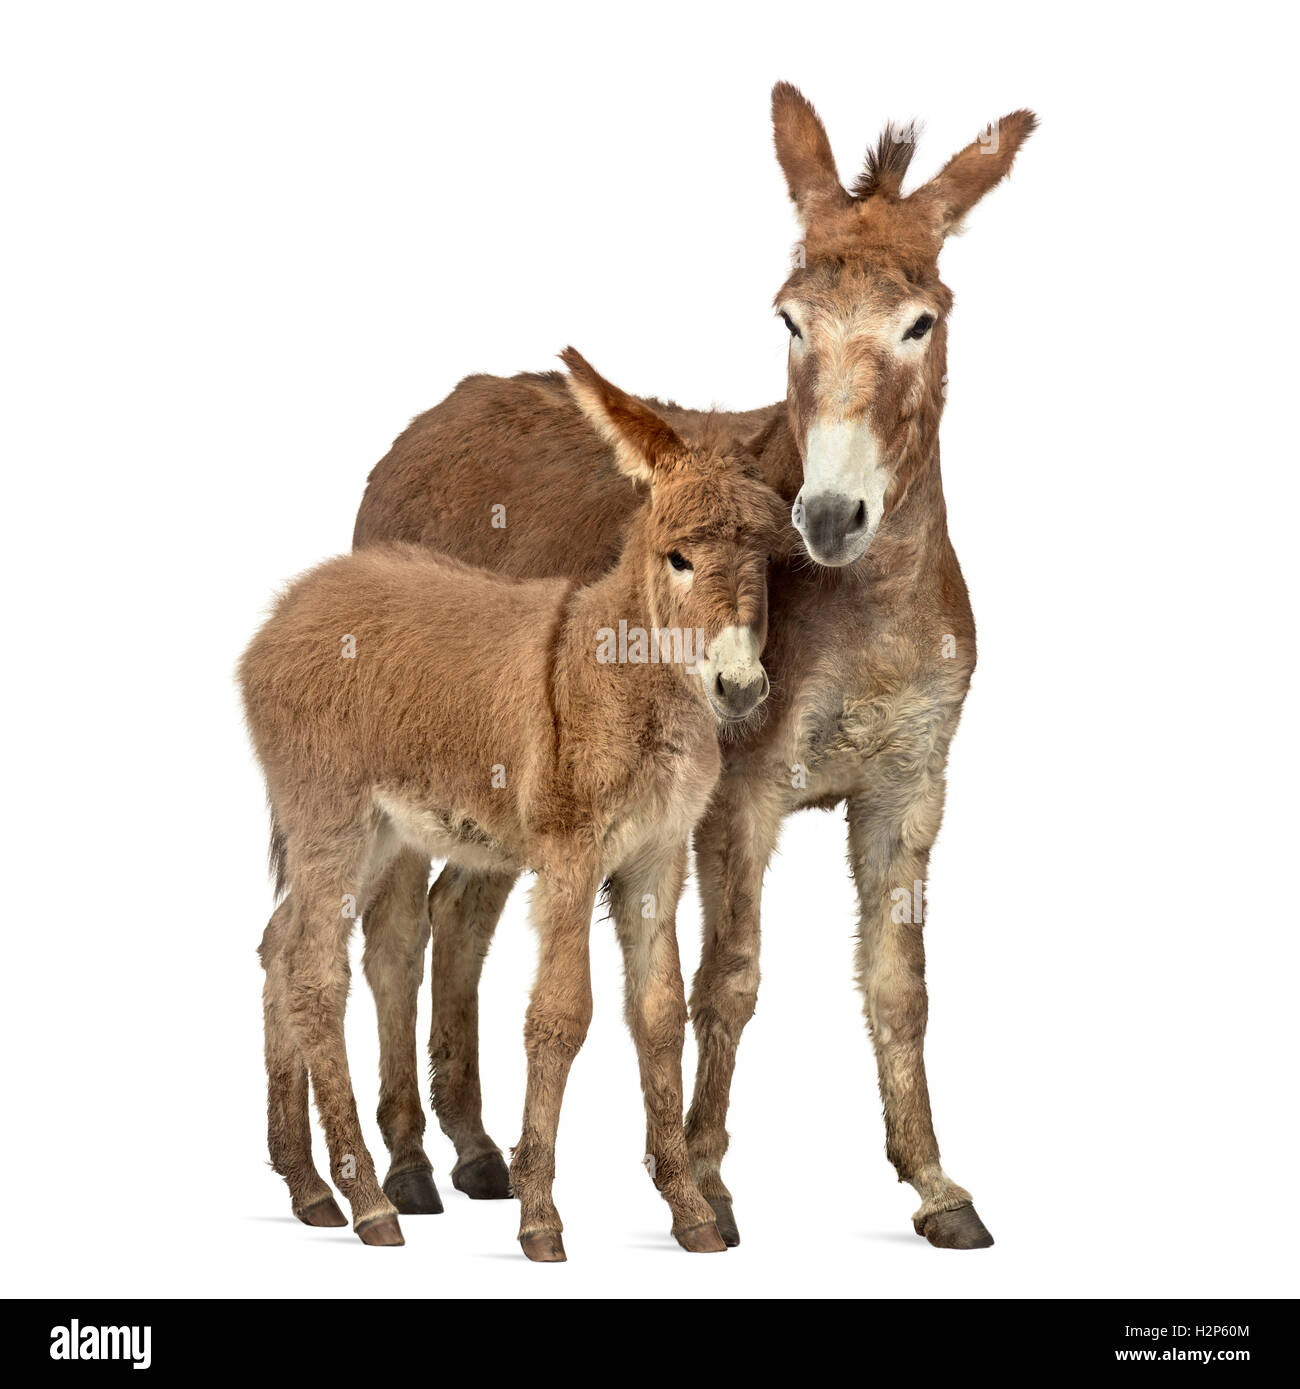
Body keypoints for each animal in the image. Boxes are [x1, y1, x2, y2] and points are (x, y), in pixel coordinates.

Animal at [244, 347, 788, 1261]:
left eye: (769, 558)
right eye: (677, 556)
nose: (740, 688)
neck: (629, 675)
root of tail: (289, 606)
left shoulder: (656, 858)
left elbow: (660, 1015)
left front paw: (691, 1213)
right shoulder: (568, 857)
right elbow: (560, 1015)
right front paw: (541, 1216)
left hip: (376, 834)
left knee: (280, 947)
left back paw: (309, 1185)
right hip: (332, 821)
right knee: (317, 973)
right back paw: (373, 1202)